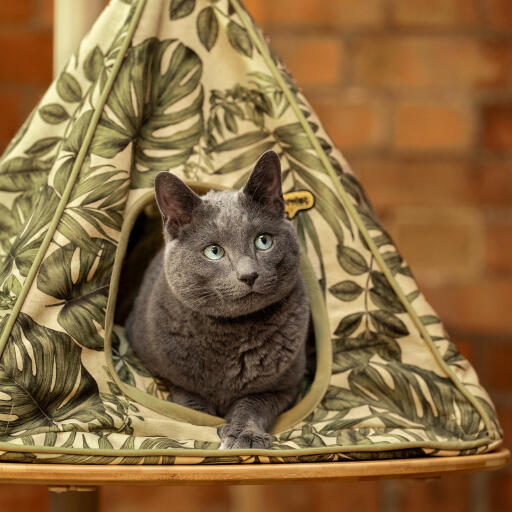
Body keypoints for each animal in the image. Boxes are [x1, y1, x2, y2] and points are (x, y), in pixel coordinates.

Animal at [125, 152, 308, 448]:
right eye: (214, 251)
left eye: (264, 241)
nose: (248, 275)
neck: (232, 336)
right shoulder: (169, 374)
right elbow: (190, 398)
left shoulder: (286, 385)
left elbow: (253, 404)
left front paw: (245, 434)